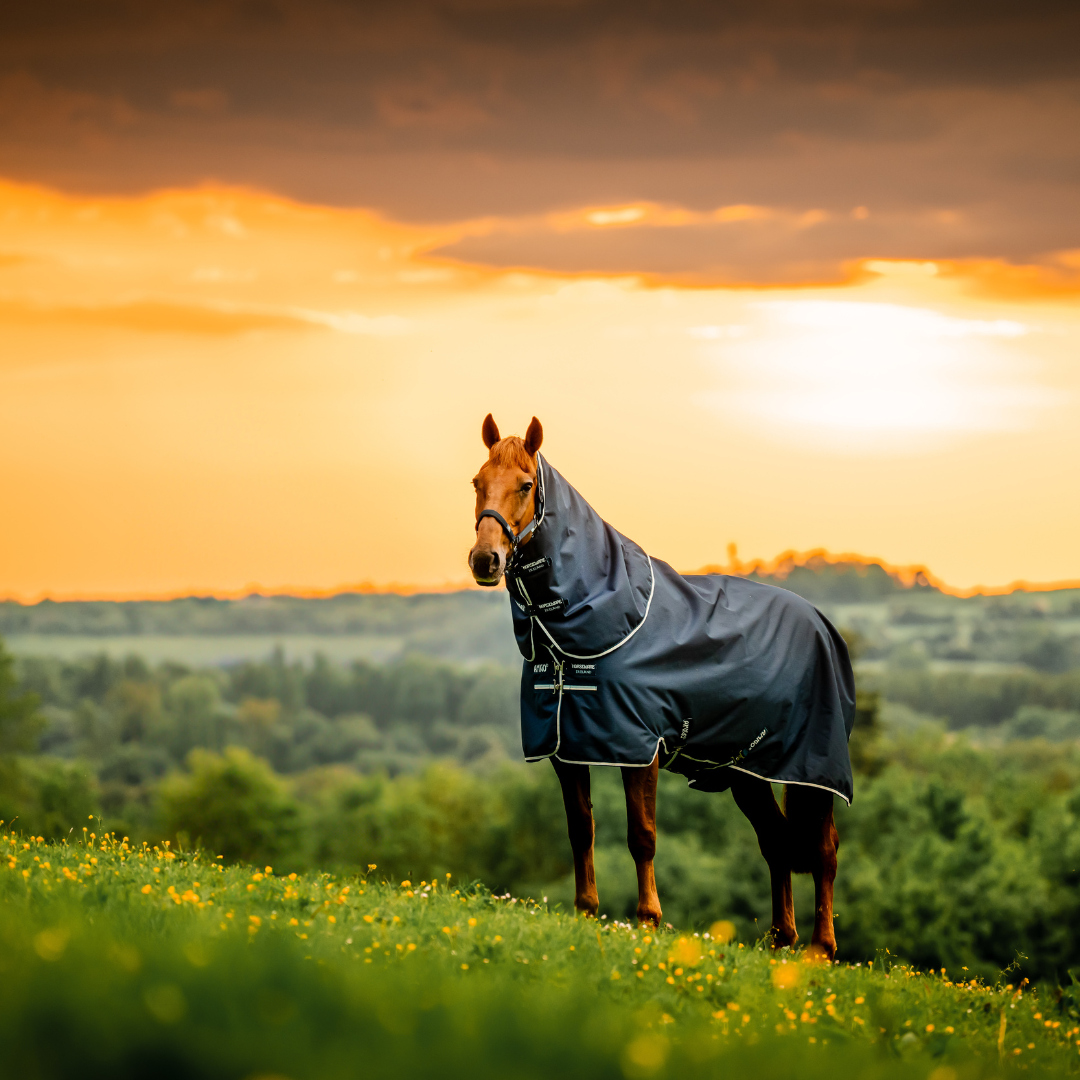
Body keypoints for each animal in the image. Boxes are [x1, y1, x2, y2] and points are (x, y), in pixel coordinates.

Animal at [468, 414, 855, 958]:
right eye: (477, 483)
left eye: (525, 485)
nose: (485, 560)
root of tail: (822, 624)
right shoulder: (566, 747)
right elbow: (580, 828)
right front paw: (586, 910)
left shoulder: (639, 746)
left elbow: (642, 834)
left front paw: (648, 919)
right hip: (747, 771)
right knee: (777, 841)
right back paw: (782, 939)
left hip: (813, 768)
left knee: (823, 849)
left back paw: (821, 947)